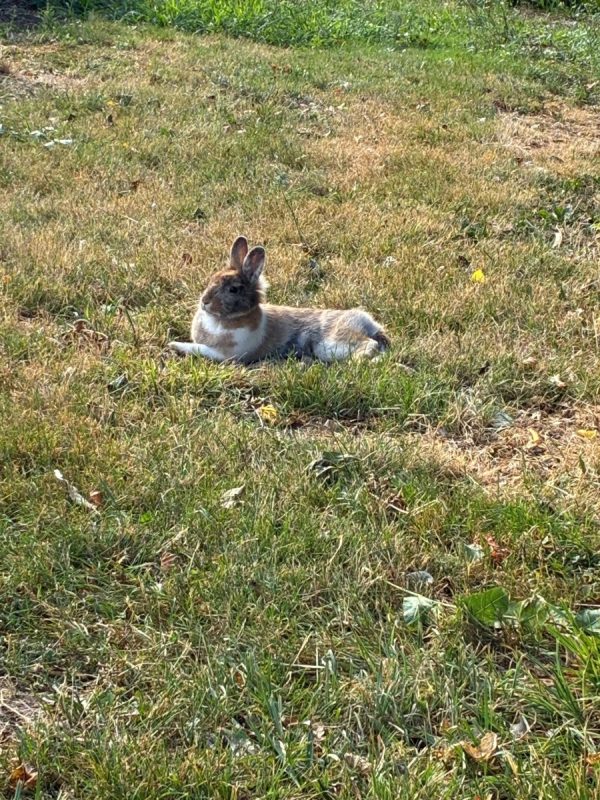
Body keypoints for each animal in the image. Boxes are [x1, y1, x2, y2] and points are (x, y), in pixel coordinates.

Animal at [169, 236, 390, 364]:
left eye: (233, 289)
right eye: (211, 278)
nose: (204, 302)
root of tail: (365, 322)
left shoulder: (226, 354)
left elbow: (199, 349)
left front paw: (174, 345)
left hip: (334, 343)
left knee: (369, 345)